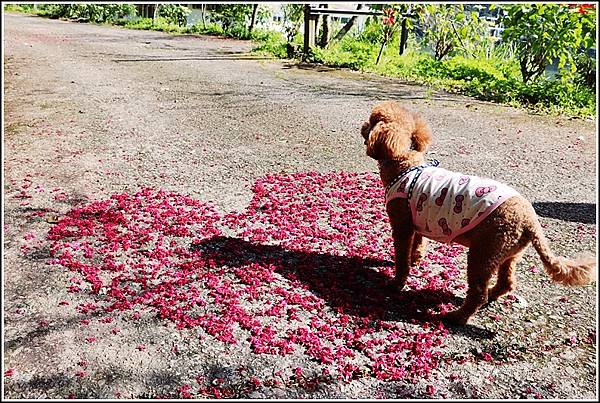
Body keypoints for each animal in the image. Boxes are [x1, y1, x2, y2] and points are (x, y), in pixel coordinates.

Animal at [360, 101, 596, 326]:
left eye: (372, 121)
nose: (362, 126)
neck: (405, 165)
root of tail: (531, 221)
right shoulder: (417, 221)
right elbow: (418, 246)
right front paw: (416, 260)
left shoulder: (402, 225)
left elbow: (402, 259)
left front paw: (397, 283)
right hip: (507, 253)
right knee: (506, 282)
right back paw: (491, 296)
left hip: (483, 252)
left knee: (478, 293)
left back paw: (458, 317)